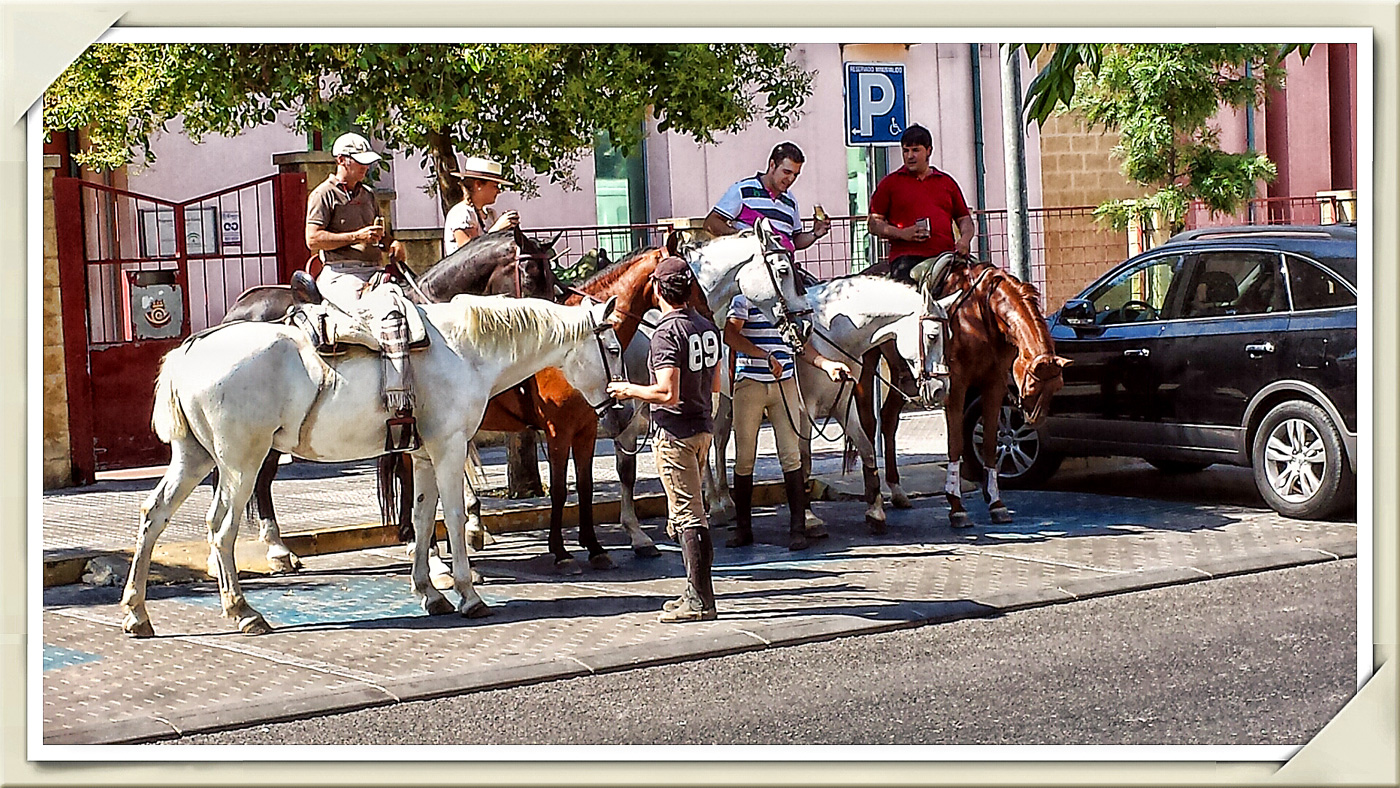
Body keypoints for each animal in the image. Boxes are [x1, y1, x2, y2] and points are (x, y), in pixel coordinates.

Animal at [117, 292, 621, 638]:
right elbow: (455, 520)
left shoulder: (422, 454)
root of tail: (187, 351)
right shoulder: (449, 447)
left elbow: (422, 519)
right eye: (613, 348)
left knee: (153, 515)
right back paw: (243, 611)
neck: (464, 350)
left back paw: (137, 612)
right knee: (221, 529)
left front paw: (429, 592)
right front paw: (468, 593)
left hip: (194, 457)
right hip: (241, 463)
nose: (617, 411)